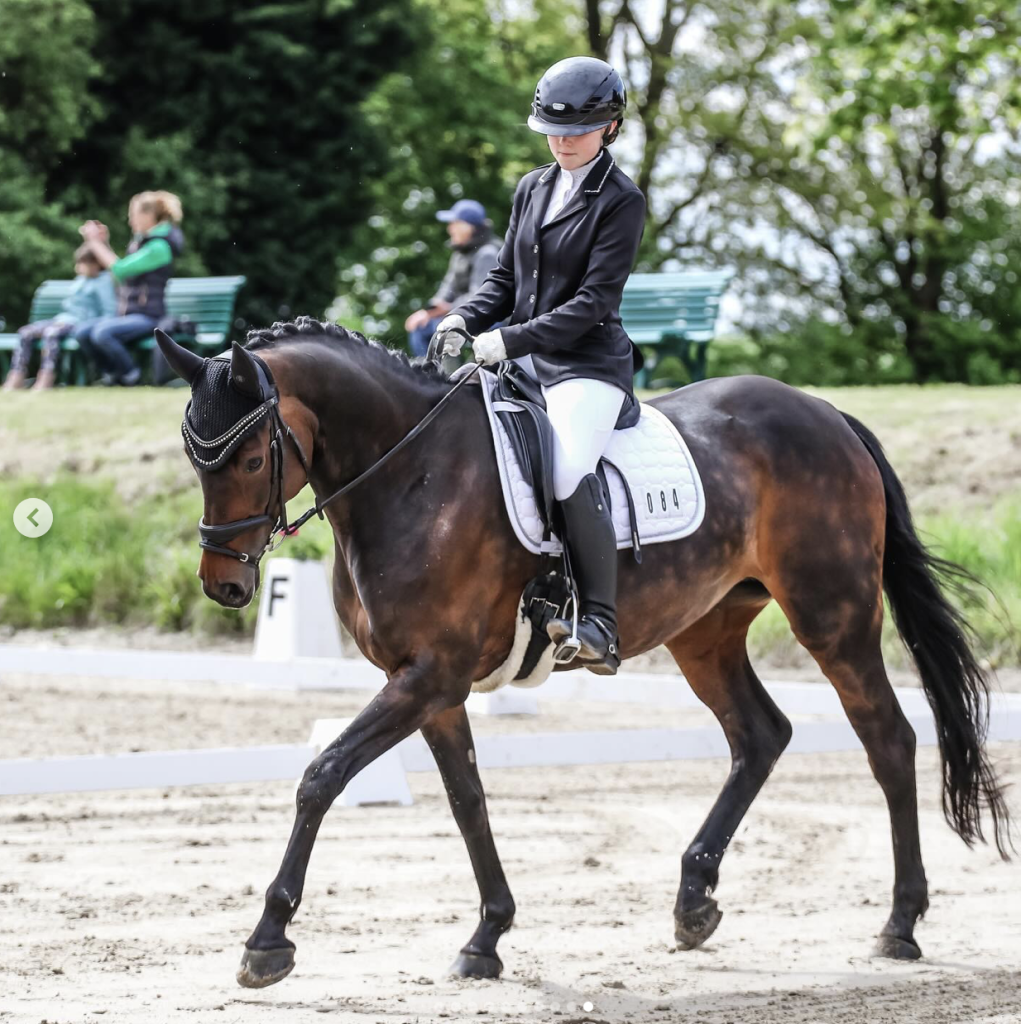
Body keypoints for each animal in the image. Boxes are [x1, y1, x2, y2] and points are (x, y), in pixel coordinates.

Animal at [155, 315, 1007, 987]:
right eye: (195, 458)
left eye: (251, 459)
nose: (226, 586)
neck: (410, 475)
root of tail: (826, 412)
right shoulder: (432, 684)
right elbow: (467, 799)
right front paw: (487, 937)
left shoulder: (426, 674)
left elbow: (321, 775)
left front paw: (268, 941)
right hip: (705, 631)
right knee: (760, 735)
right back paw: (693, 903)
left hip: (832, 616)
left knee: (886, 740)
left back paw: (898, 925)